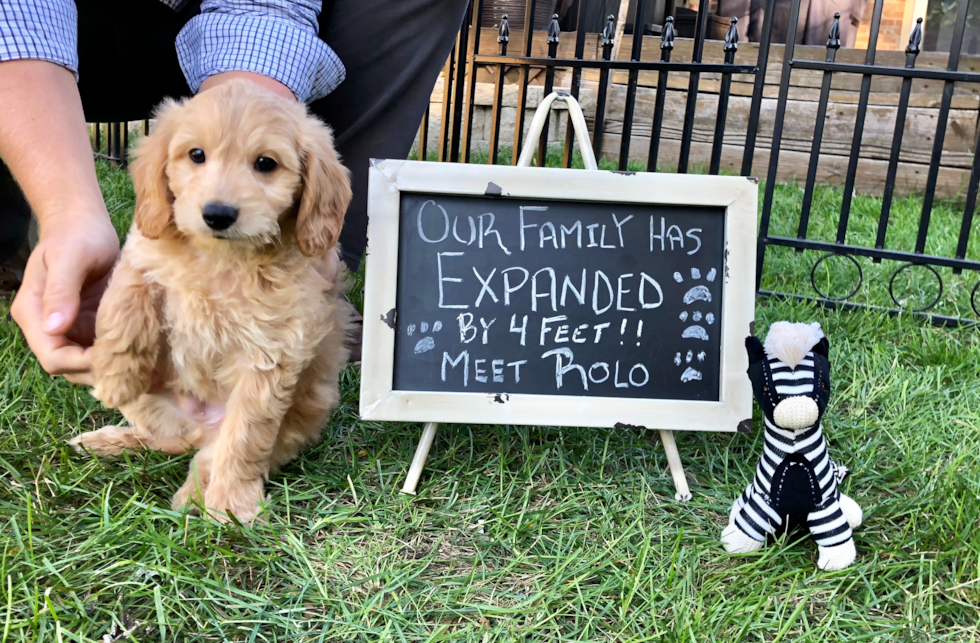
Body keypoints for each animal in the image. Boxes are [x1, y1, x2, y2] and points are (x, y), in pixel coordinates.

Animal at [73, 80, 356, 524]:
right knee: (168, 441)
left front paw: (230, 507)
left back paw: (194, 498)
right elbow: (126, 296)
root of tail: (200, 425)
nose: (218, 214)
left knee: (207, 455)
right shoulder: (143, 249)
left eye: (265, 163)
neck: (220, 258)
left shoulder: (271, 352)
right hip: (154, 409)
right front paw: (115, 375)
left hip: (286, 428)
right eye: (196, 155)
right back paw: (113, 439)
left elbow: (243, 439)